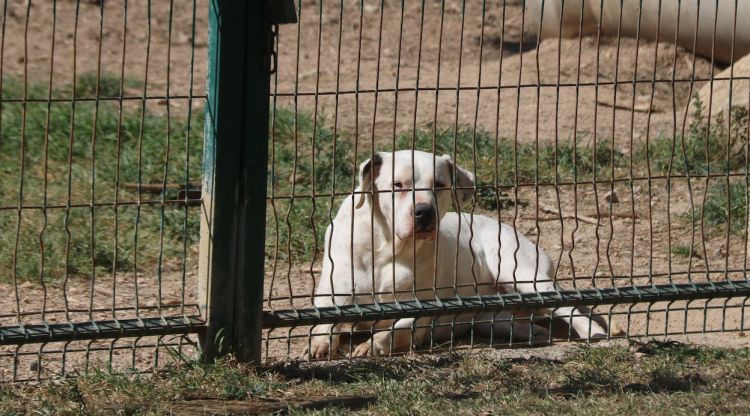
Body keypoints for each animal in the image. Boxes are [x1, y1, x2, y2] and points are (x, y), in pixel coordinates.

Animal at [308, 150, 608, 358]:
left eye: (439, 184)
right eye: (397, 185)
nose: (424, 212)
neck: (387, 247)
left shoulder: (421, 311)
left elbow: (396, 329)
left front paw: (372, 345)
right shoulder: (332, 293)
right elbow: (325, 321)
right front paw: (321, 343)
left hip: (522, 274)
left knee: (570, 308)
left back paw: (594, 332)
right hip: (490, 316)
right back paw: (531, 332)